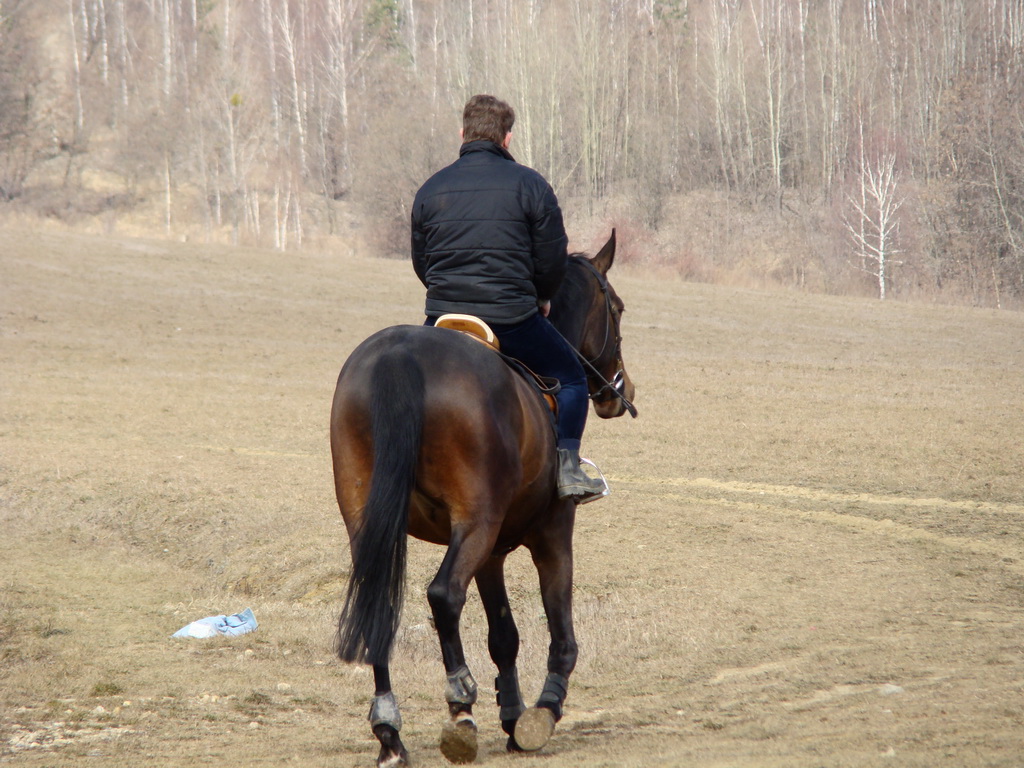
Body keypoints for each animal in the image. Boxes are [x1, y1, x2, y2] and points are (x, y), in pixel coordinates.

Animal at [329, 231, 630, 765]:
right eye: (616, 308)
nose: (619, 390)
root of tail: (399, 355)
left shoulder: (492, 552)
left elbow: (504, 636)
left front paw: (511, 716)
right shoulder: (552, 536)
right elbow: (561, 634)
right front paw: (540, 713)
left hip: (375, 522)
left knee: (377, 602)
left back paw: (389, 731)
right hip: (476, 524)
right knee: (444, 595)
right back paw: (459, 708)